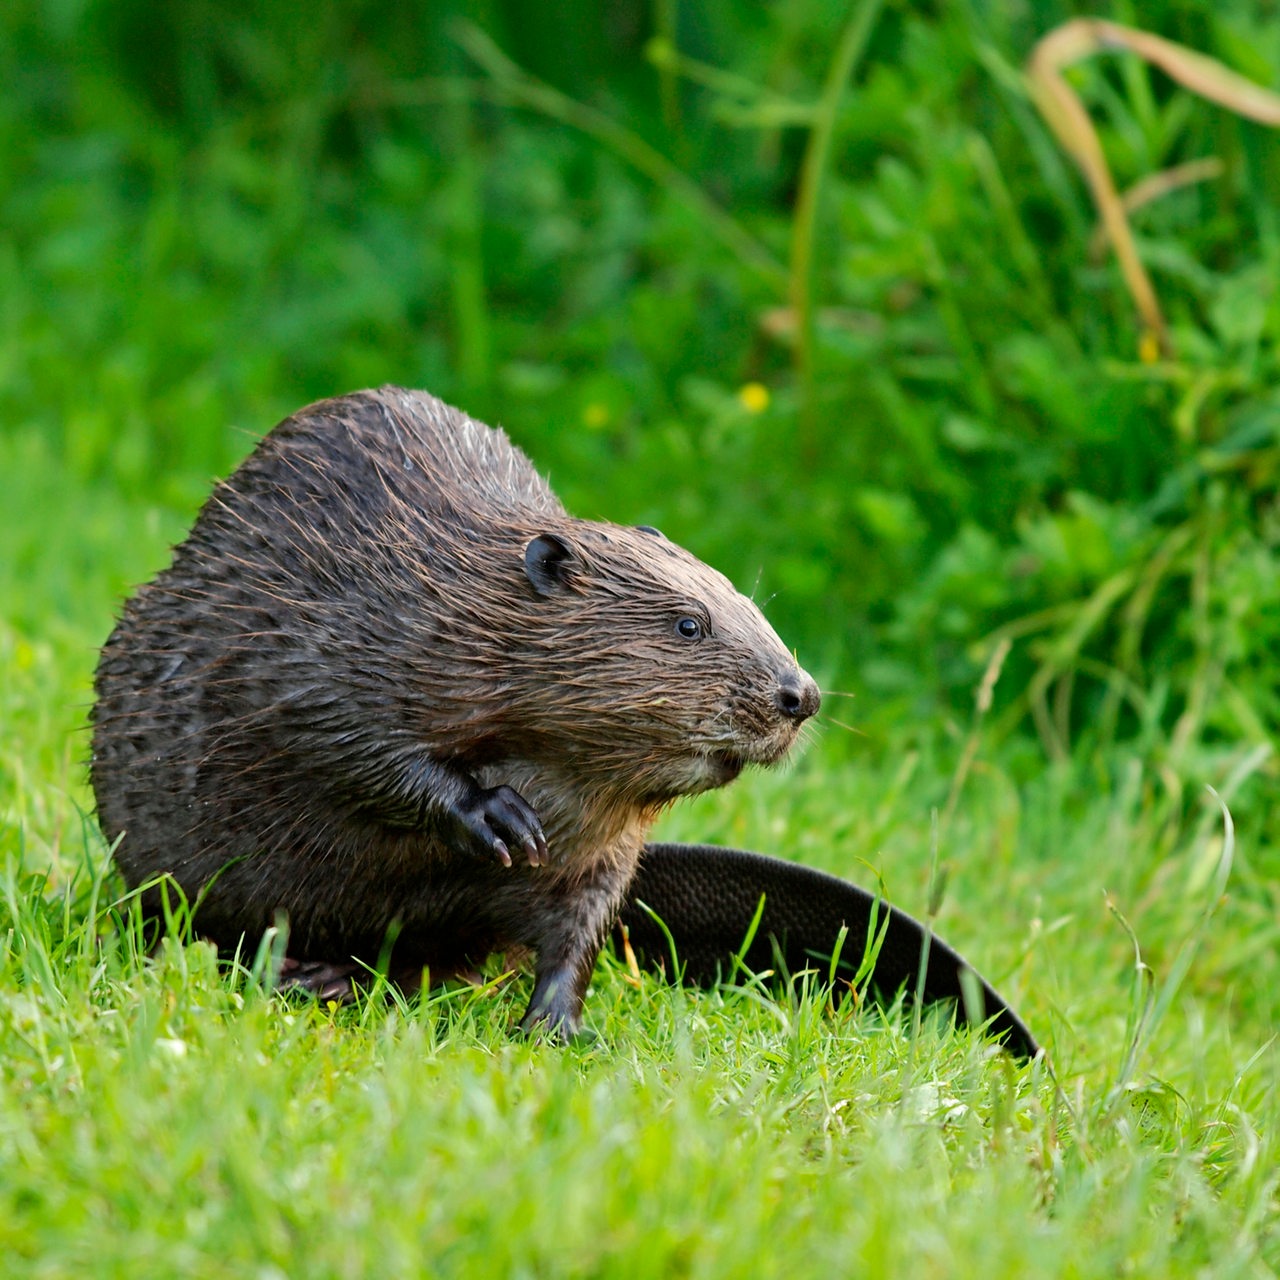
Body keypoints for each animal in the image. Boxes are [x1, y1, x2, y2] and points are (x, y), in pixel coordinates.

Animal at [94, 384, 824, 1034]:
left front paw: (557, 1025)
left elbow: (579, 923)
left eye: (746, 602)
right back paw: (280, 969)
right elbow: (338, 734)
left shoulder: (603, 846)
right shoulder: (336, 635)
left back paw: (332, 978)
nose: (802, 695)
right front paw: (502, 818)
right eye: (689, 624)